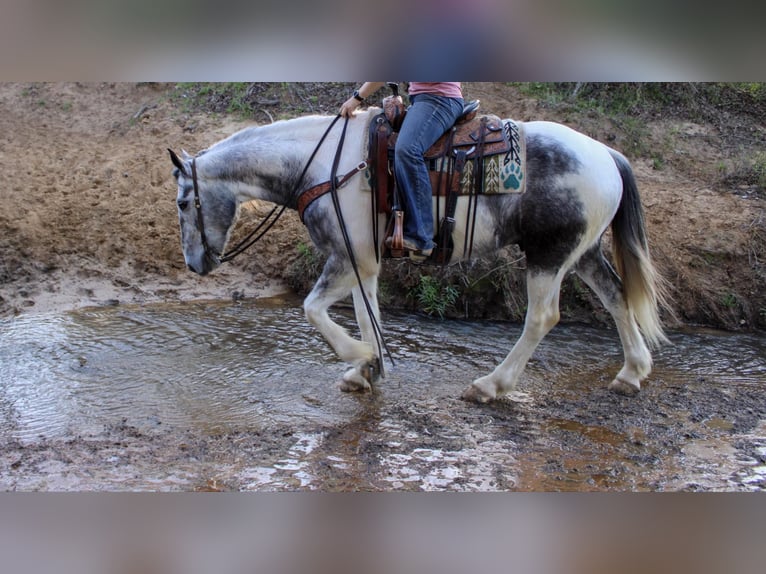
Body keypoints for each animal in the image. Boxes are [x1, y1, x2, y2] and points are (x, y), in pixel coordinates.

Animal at [168, 107, 670, 402]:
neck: (323, 165)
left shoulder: (346, 258)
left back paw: (491, 385)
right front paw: (367, 368)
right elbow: (365, 311)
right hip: (583, 253)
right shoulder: (363, 261)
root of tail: (606, 153)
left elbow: (313, 309)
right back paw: (632, 372)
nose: (195, 264)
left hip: (549, 255)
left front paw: (360, 355)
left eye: (182, 203)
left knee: (543, 318)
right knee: (616, 296)